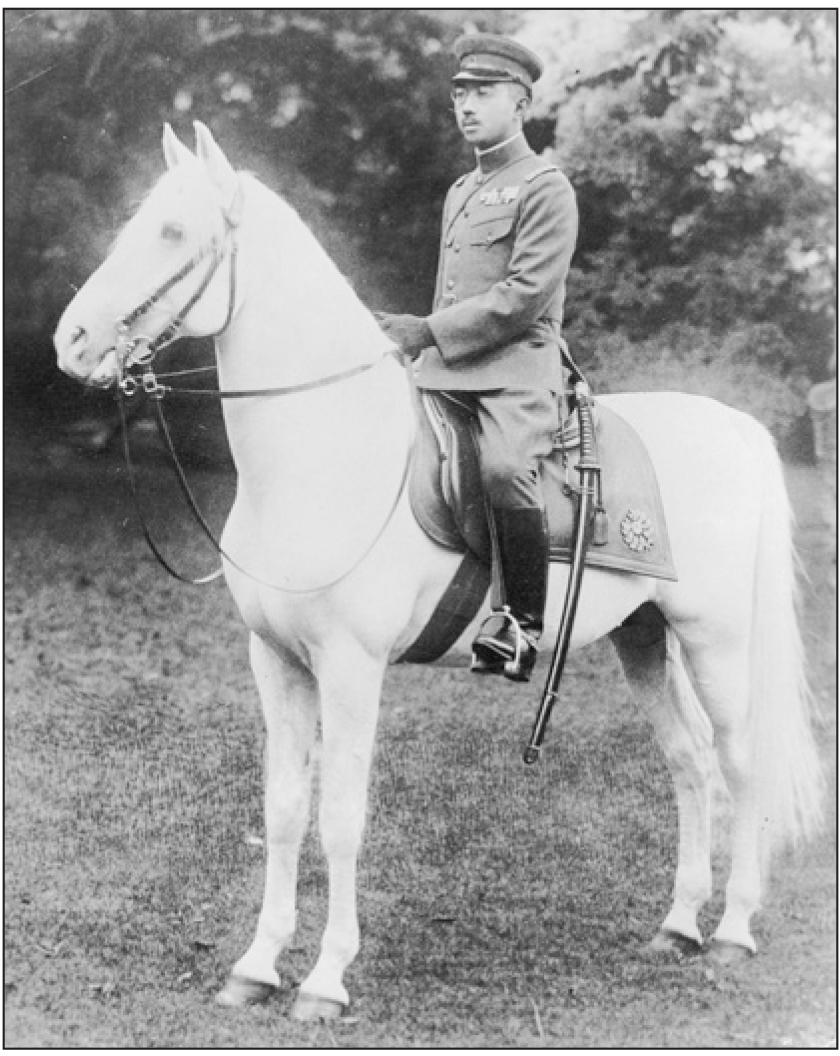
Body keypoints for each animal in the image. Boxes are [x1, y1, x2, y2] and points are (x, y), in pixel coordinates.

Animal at [55, 123, 824, 1022]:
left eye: (174, 232)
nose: (71, 342)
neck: (322, 451)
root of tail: (730, 423)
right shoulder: (276, 663)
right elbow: (283, 810)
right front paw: (257, 965)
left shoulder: (350, 669)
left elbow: (340, 817)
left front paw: (325, 979)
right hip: (642, 636)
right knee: (690, 761)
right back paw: (677, 924)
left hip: (716, 639)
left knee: (739, 762)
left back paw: (732, 929)